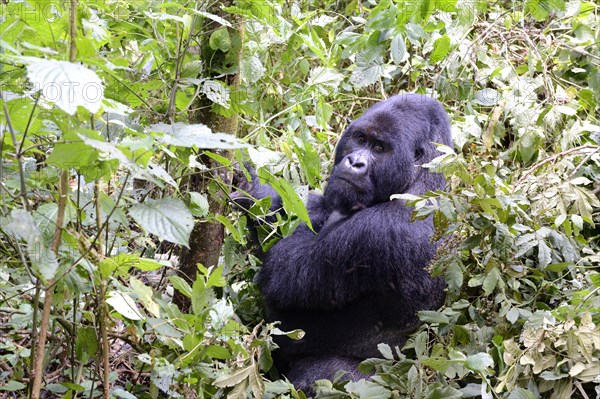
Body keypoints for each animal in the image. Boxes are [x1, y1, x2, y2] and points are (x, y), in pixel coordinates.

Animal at [232, 93, 452, 394]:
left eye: (379, 148)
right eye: (360, 139)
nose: (355, 162)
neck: (420, 182)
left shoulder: (382, 232)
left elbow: (279, 272)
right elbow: (306, 212)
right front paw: (253, 189)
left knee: (319, 376)